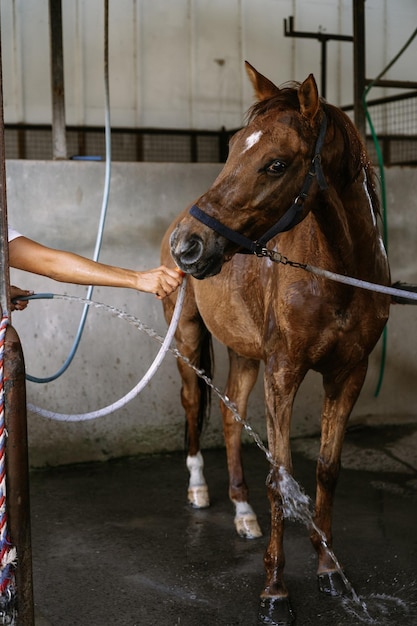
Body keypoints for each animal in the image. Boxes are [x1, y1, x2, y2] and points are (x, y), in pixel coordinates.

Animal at [160, 61, 390, 620]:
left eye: (277, 163)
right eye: (232, 148)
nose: (188, 245)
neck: (338, 272)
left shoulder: (348, 373)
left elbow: (326, 469)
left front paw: (330, 569)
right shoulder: (284, 372)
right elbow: (280, 477)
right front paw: (274, 591)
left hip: (245, 355)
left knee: (229, 417)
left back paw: (243, 513)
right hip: (188, 339)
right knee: (193, 404)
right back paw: (199, 489)